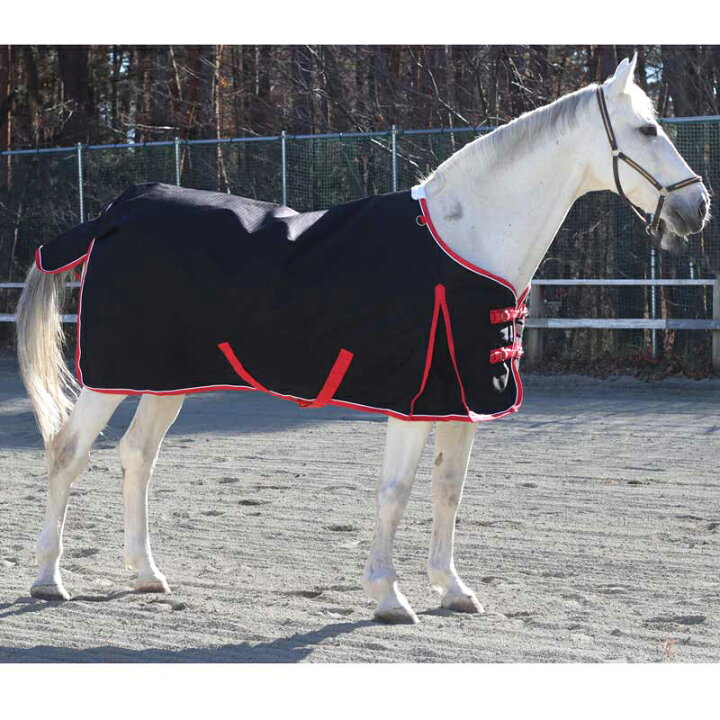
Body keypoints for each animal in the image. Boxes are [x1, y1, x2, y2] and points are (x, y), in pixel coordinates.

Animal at [15, 56, 709, 624]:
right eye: (648, 130)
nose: (697, 207)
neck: (465, 240)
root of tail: (117, 211)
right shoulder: (414, 399)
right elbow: (395, 492)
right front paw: (388, 596)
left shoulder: (461, 401)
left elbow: (448, 490)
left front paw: (452, 589)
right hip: (112, 375)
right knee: (68, 452)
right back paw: (49, 580)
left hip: (166, 379)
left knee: (137, 456)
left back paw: (144, 575)